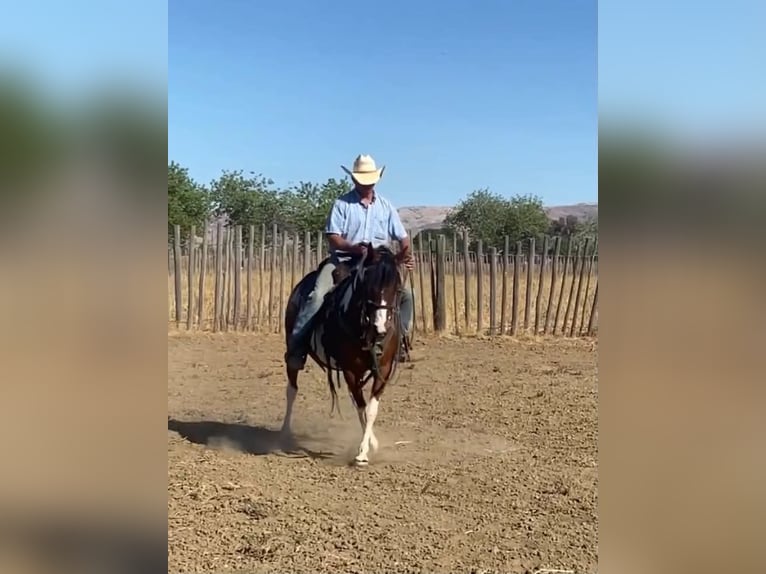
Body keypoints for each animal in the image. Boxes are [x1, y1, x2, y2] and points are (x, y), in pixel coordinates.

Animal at [280, 243, 408, 466]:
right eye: (369, 285)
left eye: (397, 288)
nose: (381, 328)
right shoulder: (350, 369)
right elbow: (361, 407)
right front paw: (362, 453)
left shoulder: (383, 369)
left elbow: (370, 409)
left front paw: (369, 447)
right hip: (293, 350)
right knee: (292, 388)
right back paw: (286, 431)